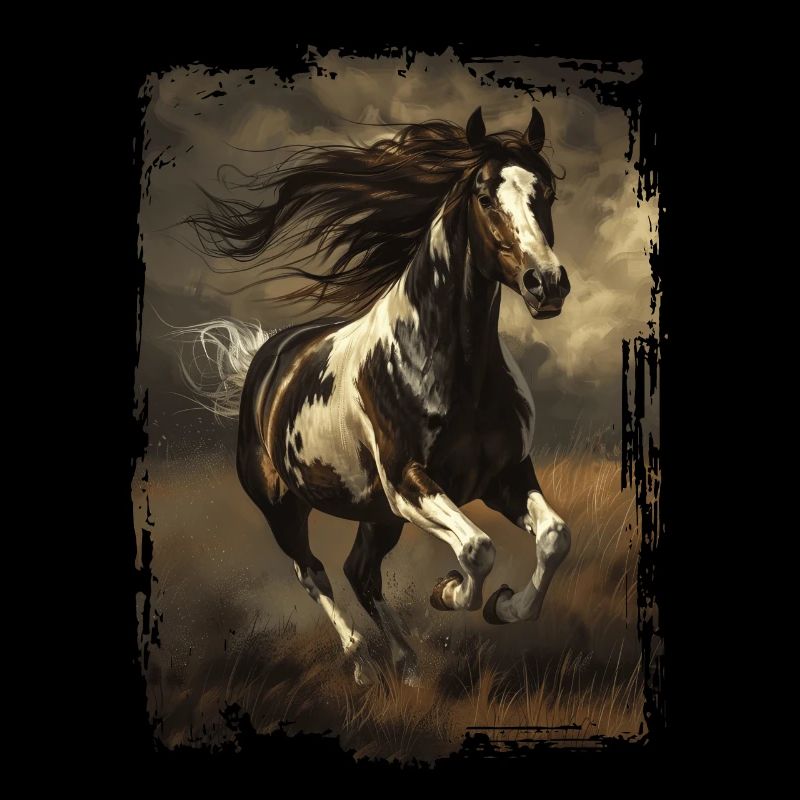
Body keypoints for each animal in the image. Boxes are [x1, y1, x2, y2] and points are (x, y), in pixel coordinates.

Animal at [181, 106, 572, 686]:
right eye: (484, 196)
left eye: (546, 191)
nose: (545, 283)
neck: (454, 369)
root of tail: (266, 358)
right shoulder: (408, 483)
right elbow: (477, 548)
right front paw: (448, 591)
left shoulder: (506, 475)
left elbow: (553, 537)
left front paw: (503, 606)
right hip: (285, 508)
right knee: (313, 572)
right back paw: (361, 663)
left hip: (377, 515)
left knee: (359, 572)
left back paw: (407, 665)